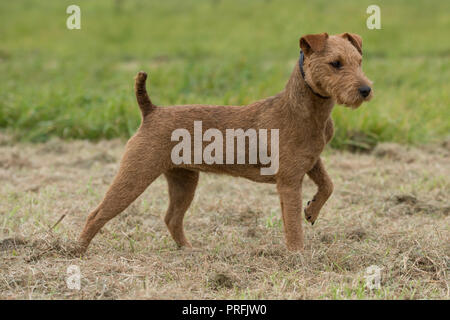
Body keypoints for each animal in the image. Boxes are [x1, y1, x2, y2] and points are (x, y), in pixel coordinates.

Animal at [76, 32, 372, 252]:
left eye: (359, 61)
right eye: (336, 63)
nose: (366, 90)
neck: (305, 109)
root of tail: (151, 111)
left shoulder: (311, 161)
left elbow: (328, 185)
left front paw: (312, 210)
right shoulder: (289, 182)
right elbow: (293, 226)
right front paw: (297, 256)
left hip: (184, 179)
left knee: (172, 218)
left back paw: (189, 250)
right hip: (135, 174)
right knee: (96, 213)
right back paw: (76, 251)